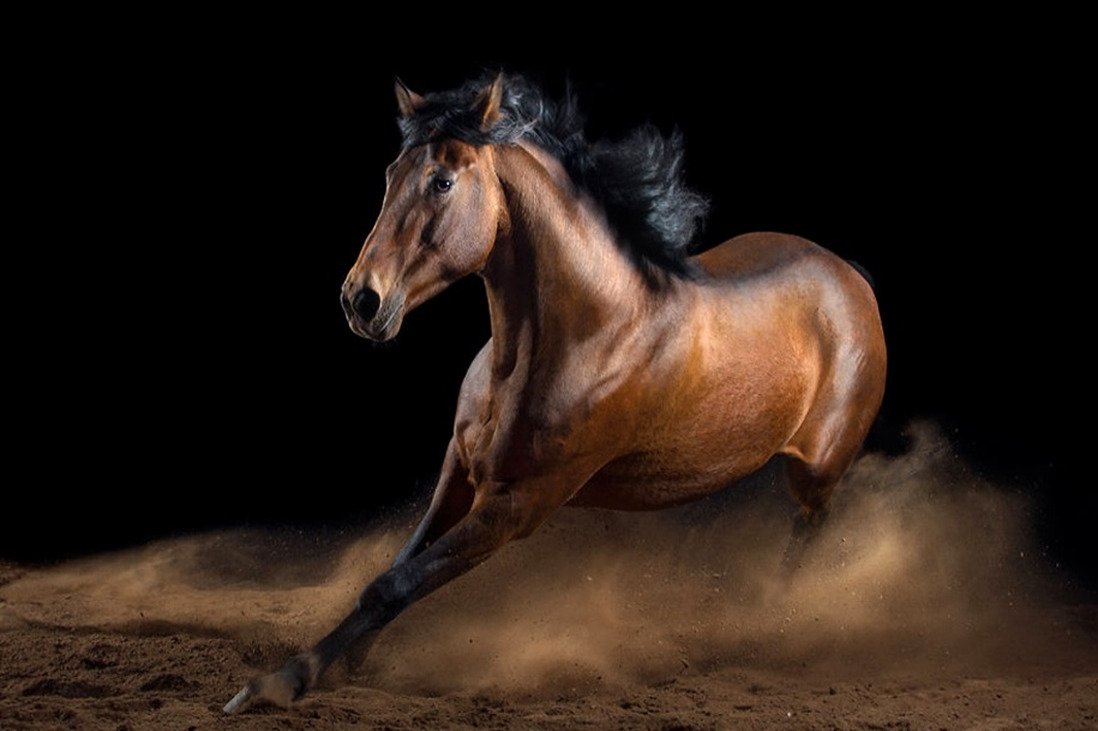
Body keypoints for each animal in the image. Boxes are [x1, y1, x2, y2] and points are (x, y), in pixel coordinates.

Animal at [224, 72, 886, 713]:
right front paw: (348, 661)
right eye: (390, 174)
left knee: (808, 533)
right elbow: (399, 563)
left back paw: (770, 620)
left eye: (441, 181)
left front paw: (276, 683)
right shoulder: (459, 468)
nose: (360, 300)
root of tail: (853, 278)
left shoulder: (518, 505)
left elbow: (395, 585)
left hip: (818, 472)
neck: (585, 332)